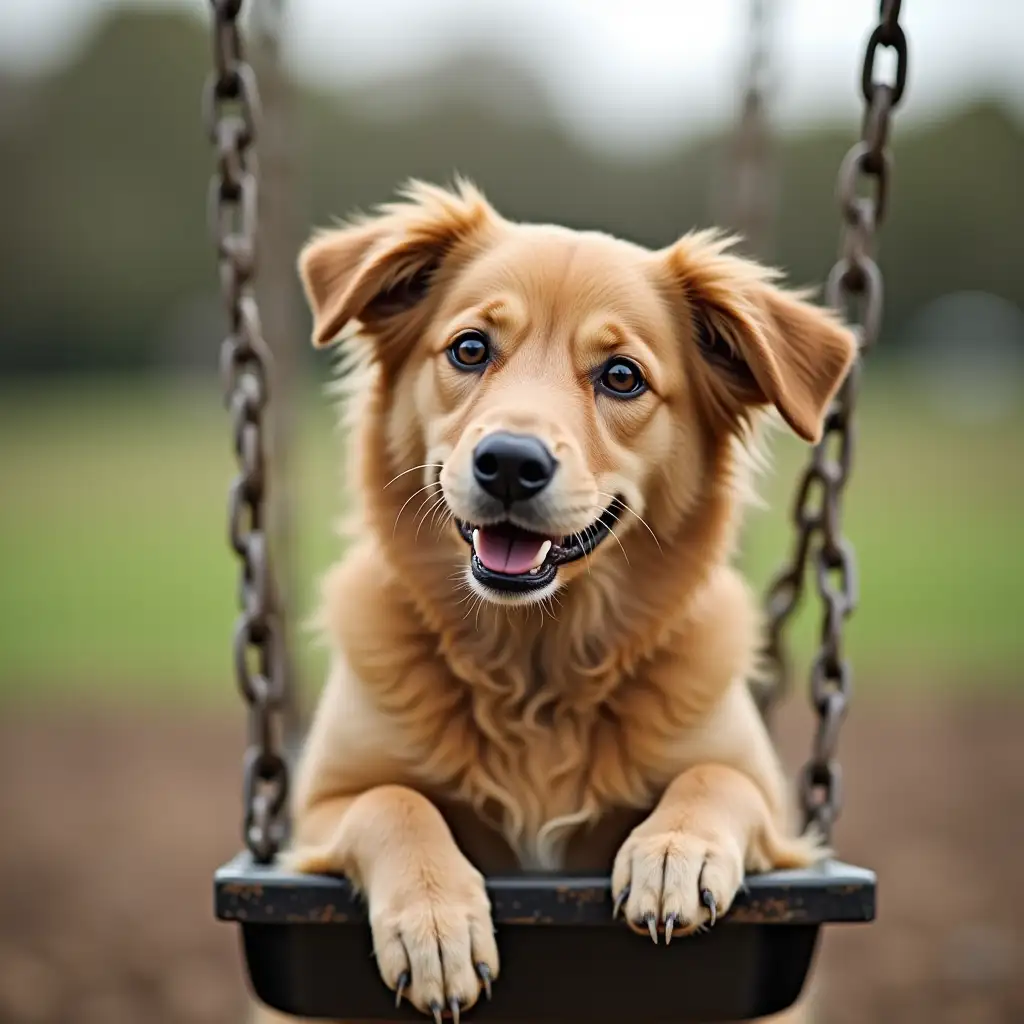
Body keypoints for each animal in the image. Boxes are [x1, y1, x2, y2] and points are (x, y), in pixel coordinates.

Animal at [256, 182, 856, 1024]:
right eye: (470, 350)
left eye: (622, 376)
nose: (510, 462)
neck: (535, 666)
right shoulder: (315, 815)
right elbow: (393, 799)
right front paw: (436, 925)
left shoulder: (778, 819)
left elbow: (718, 778)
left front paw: (672, 852)